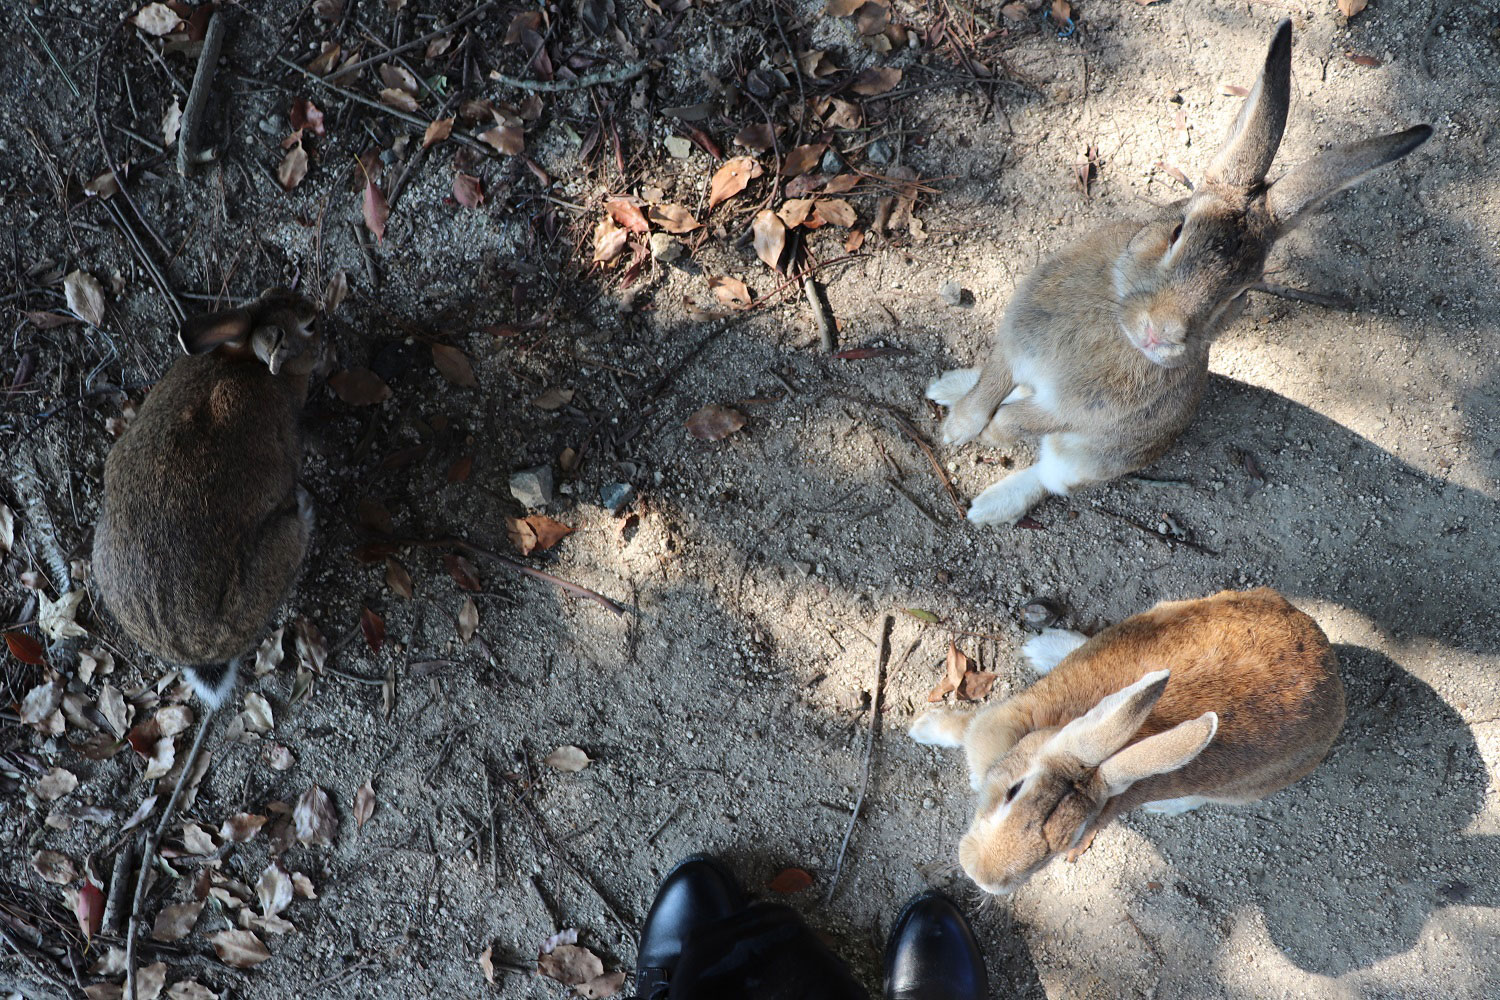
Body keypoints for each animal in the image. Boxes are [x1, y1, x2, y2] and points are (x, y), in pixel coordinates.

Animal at [912, 590, 1350, 893]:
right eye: (1013, 792)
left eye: (1066, 843)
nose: (981, 876)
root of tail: (1335, 687)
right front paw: (923, 727)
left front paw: (922, 727)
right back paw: (1044, 647)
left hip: (1242, 787)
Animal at [930, 19, 1434, 527]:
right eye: (1176, 230)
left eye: (1239, 294)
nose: (1162, 333)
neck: (1117, 326)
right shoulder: (1016, 346)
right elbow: (989, 389)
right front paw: (955, 430)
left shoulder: (1080, 416)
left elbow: (1013, 420)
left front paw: (981, 437)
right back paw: (946, 387)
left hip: (1090, 458)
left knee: (1051, 477)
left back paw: (987, 508)